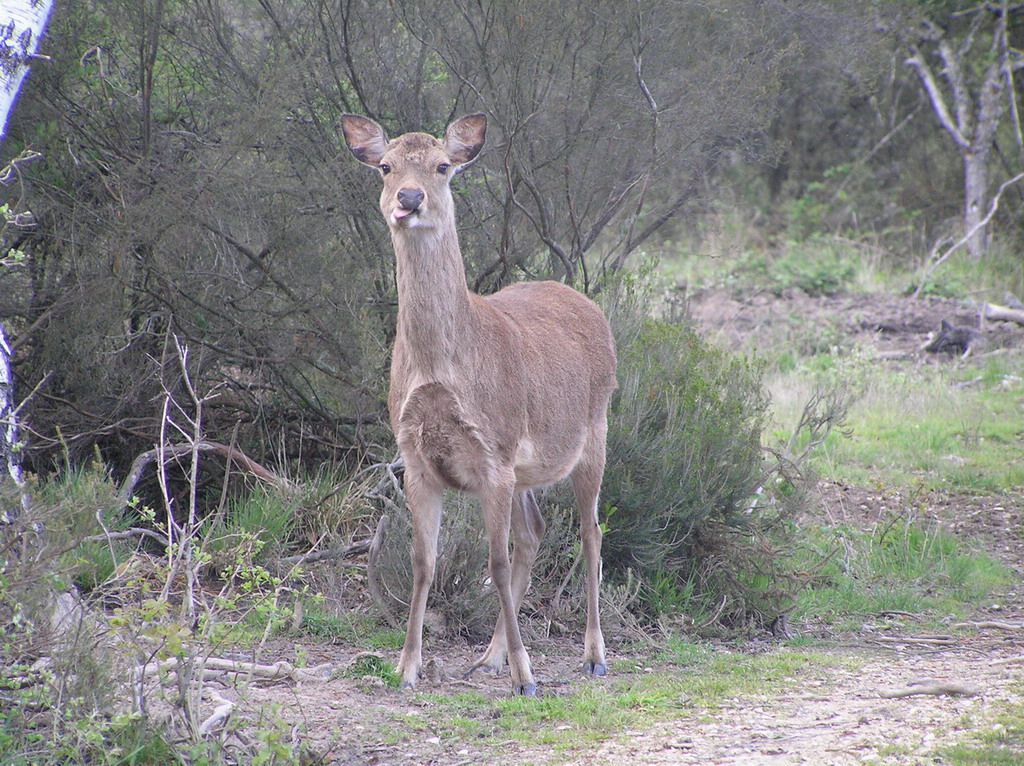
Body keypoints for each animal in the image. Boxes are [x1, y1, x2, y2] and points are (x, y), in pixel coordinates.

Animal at [342, 112, 614, 692]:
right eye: (385, 166)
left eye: (444, 165)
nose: (410, 198)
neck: (442, 370)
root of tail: (586, 302)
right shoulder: (416, 458)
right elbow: (424, 561)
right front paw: (406, 666)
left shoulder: (495, 451)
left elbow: (493, 563)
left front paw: (526, 678)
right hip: (525, 471)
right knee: (534, 534)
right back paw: (489, 657)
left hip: (595, 431)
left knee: (590, 533)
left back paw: (593, 654)